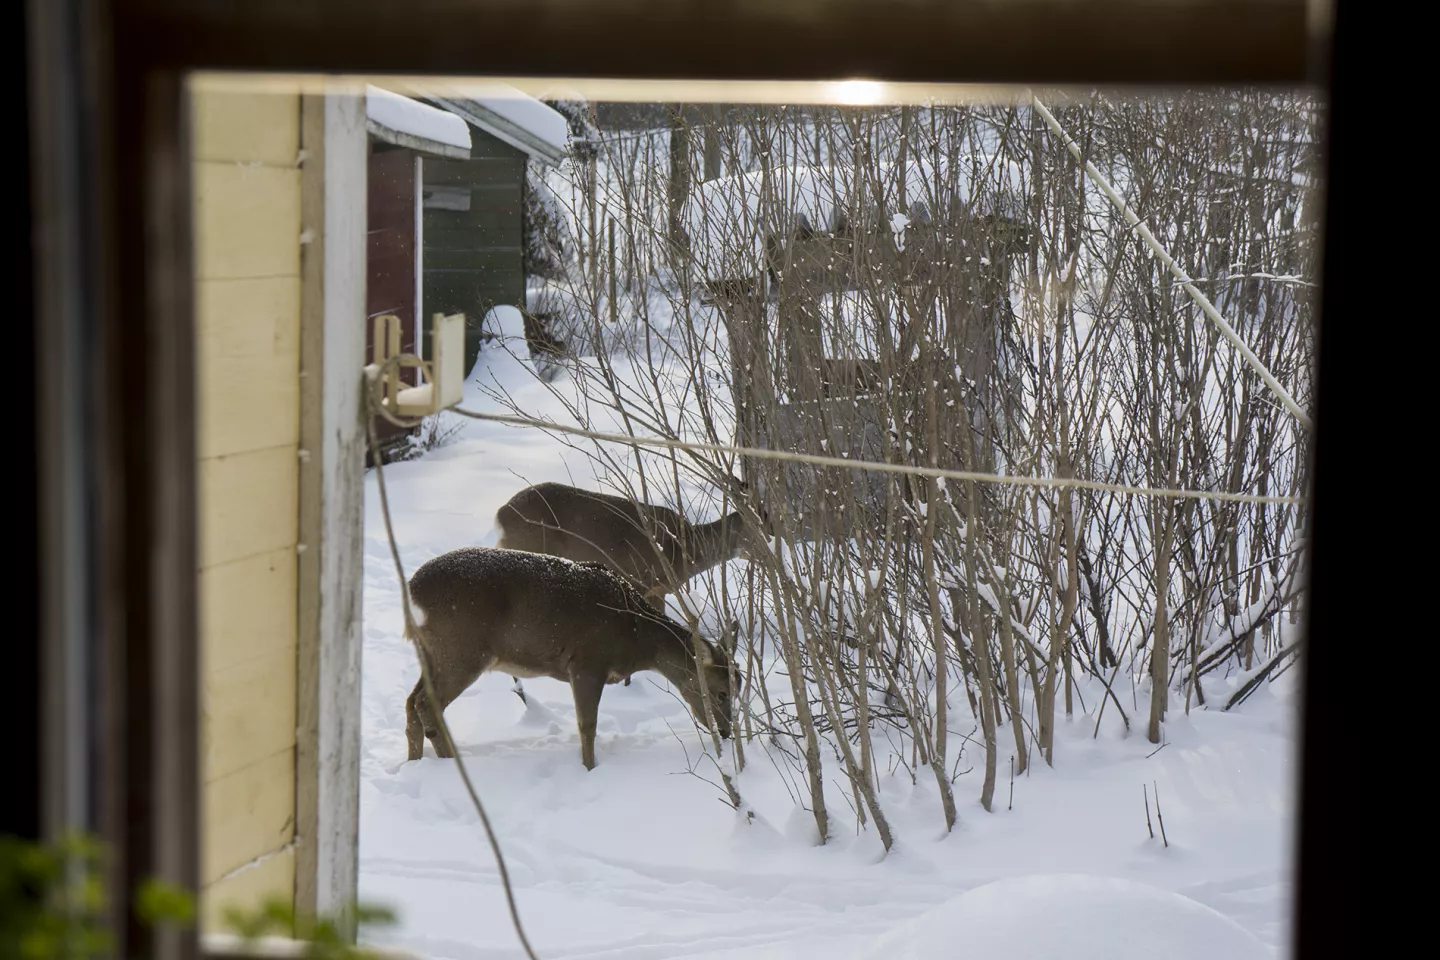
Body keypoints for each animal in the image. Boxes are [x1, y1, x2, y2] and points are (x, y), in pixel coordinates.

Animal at [406, 544, 737, 771]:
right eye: (722, 692)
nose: (726, 731)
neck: (635, 634)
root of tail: (410, 590)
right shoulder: (588, 661)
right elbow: (587, 725)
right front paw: (590, 769)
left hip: (433, 652)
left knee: (412, 702)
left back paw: (415, 762)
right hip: (460, 649)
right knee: (426, 704)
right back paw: (448, 762)